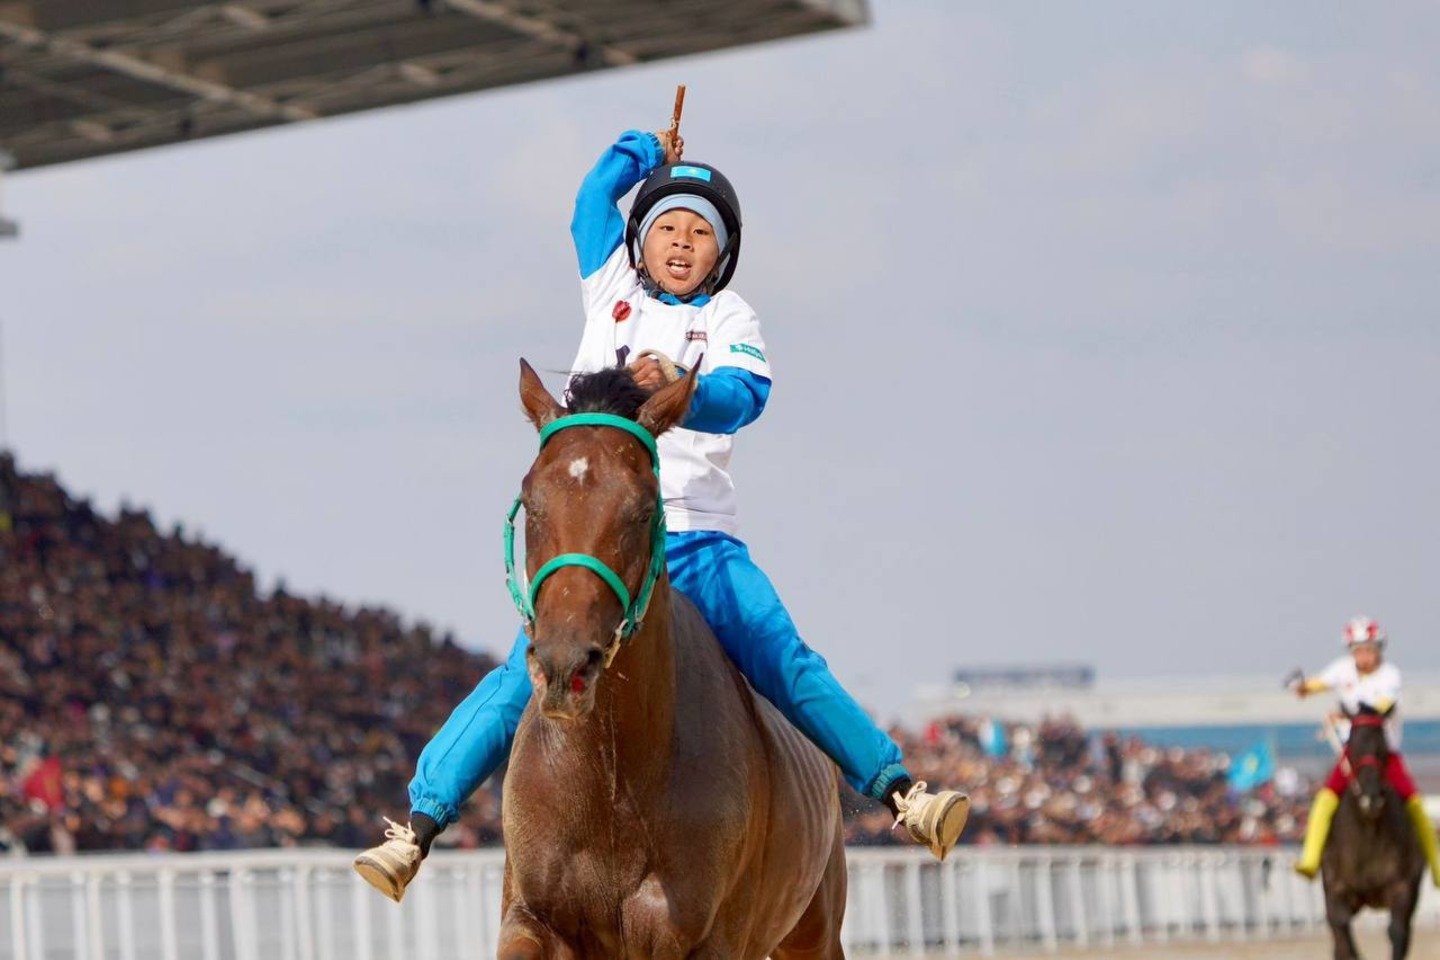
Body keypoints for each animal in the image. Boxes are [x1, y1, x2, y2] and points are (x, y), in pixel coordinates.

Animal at [501, 362, 846, 960]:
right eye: (532, 502)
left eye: (642, 510)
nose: (565, 667)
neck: (613, 776)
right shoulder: (531, 915)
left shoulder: (705, 935)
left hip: (815, 933)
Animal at [1319, 711, 1422, 955]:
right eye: (1351, 746)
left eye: (1383, 748)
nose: (1371, 798)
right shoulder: (1336, 888)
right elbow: (1342, 933)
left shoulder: (1402, 886)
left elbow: (1397, 932)